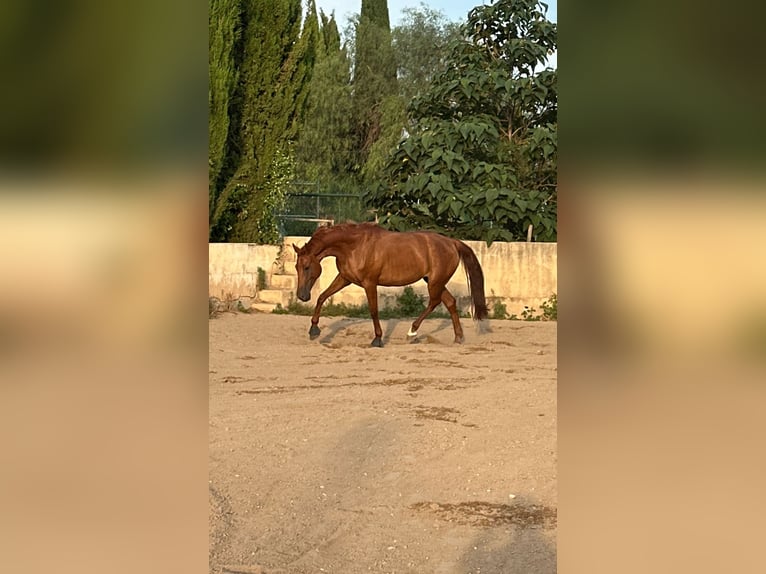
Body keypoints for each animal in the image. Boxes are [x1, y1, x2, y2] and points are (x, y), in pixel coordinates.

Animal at [292, 222, 488, 347]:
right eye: (296, 267)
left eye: (307, 267)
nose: (302, 296)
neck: (354, 246)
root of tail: (452, 242)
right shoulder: (345, 278)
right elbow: (322, 297)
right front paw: (314, 330)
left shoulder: (369, 283)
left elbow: (373, 310)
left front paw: (377, 340)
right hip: (435, 281)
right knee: (450, 302)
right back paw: (458, 338)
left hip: (435, 282)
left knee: (434, 302)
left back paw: (412, 332)